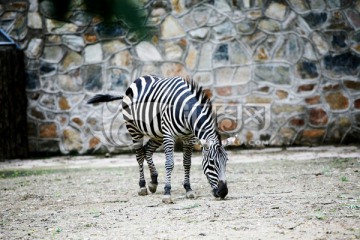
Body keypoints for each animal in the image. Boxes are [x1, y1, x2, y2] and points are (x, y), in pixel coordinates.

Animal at [87, 74, 228, 202]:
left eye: (226, 161)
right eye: (211, 162)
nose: (223, 192)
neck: (185, 111)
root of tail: (137, 80)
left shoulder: (189, 138)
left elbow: (187, 163)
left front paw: (188, 189)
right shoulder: (169, 135)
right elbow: (169, 164)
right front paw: (167, 193)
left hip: (157, 134)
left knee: (147, 150)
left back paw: (153, 182)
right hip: (134, 129)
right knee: (139, 155)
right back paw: (143, 186)